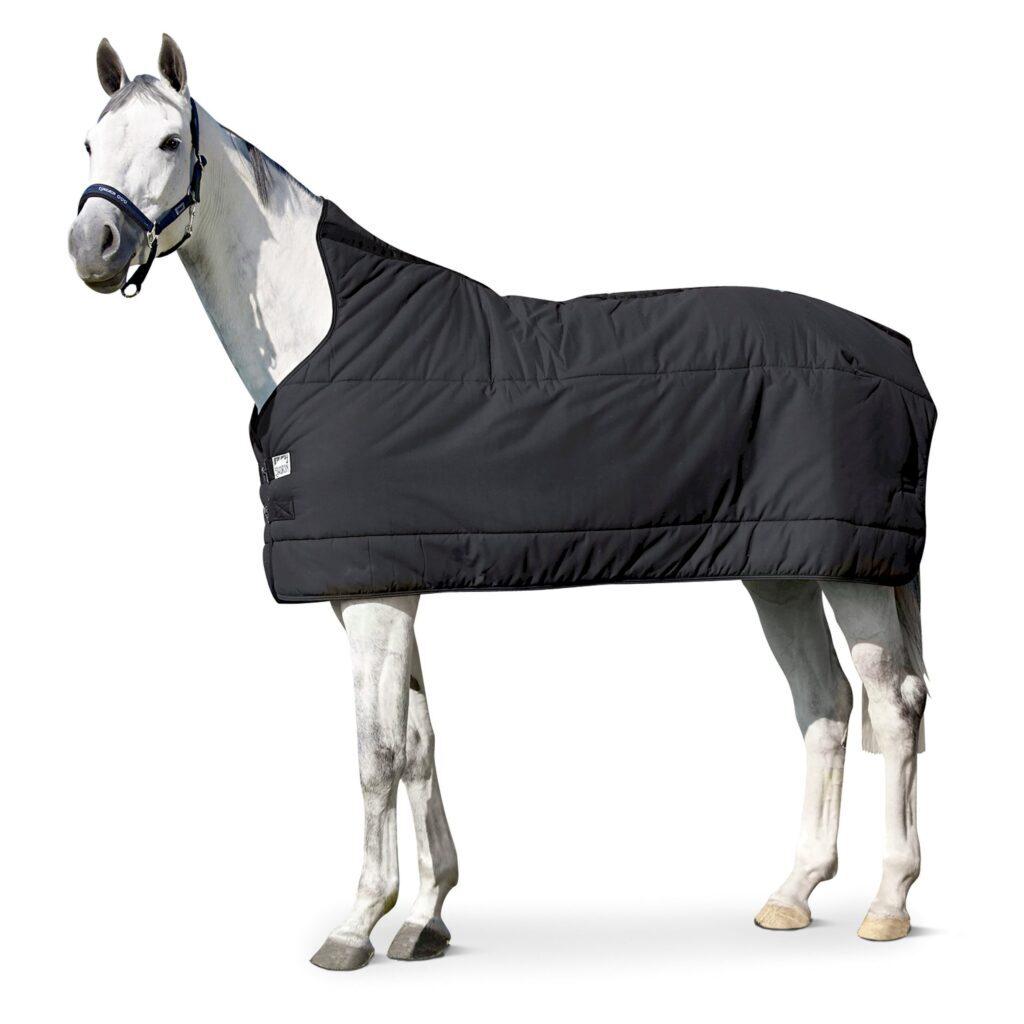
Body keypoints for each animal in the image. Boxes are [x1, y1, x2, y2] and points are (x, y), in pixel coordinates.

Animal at [68, 35, 930, 970]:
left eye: (166, 141)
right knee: (826, 707)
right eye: (89, 142)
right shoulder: (386, 584)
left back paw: (888, 903)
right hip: (784, 570)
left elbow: (375, 755)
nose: (93, 244)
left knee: (892, 708)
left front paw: (356, 924)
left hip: (856, 568)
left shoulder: (373, 597)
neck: (325, 333)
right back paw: (792, 894)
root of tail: (896, 354)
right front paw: (425, 918)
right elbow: (418, 745)